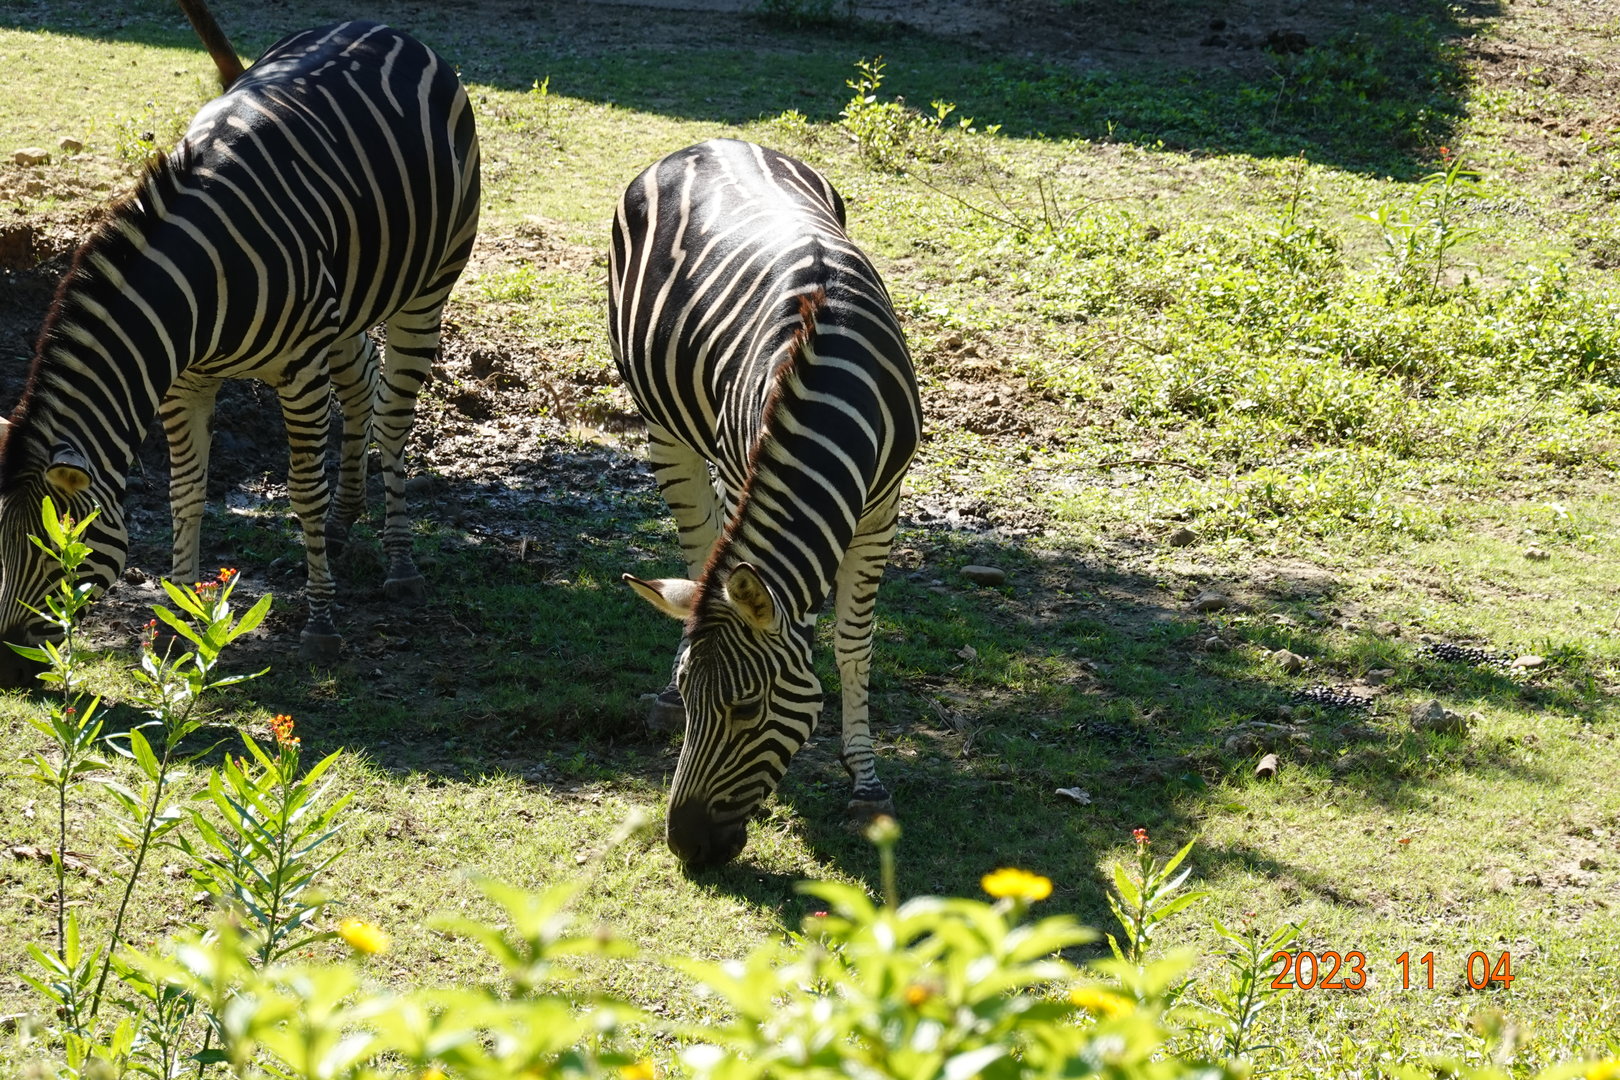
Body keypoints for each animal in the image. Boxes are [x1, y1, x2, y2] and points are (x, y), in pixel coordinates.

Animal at [0, 6, 480, 685]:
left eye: (53, 551)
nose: (4, 669)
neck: (196, 290)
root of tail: (384, 27)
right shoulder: (183, 383)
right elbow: (185, 494)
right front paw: (174, 622)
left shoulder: (300, 370)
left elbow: (302, 492)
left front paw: (320, 625)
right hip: (349, 299)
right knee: (362, 384)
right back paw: (343, 524)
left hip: (430, 284)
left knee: (392, 414)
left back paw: (399, 562)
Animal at [609, 139, 922, 869]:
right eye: (693, 703)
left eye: (747, 711)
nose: (686, 846)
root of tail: (706, 144)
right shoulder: (737, 466)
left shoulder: (882, 505)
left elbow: (854, 643)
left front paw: (866, 783)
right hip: (663, 424)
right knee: (699, 551)